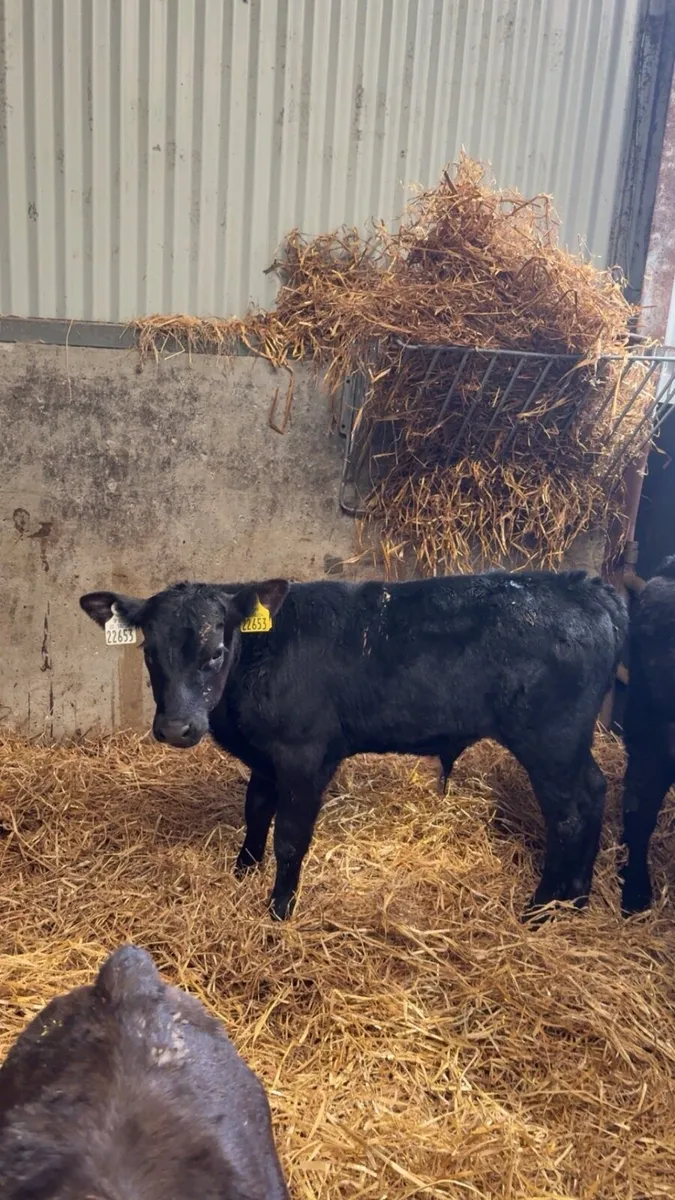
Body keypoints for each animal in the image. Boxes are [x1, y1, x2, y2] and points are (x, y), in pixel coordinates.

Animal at [80, 570, 627, 921]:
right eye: (149, 652)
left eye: (215, 651)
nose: (176, 728)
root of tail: (587, 586)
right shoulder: (267, 757)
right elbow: (255, 812)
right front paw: (242, 873)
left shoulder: (305, 756)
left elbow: (290, 836)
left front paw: (279, 909)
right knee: (596, 791)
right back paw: (577, 900)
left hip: (550, 740)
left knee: (570, 813)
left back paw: (540, 909)